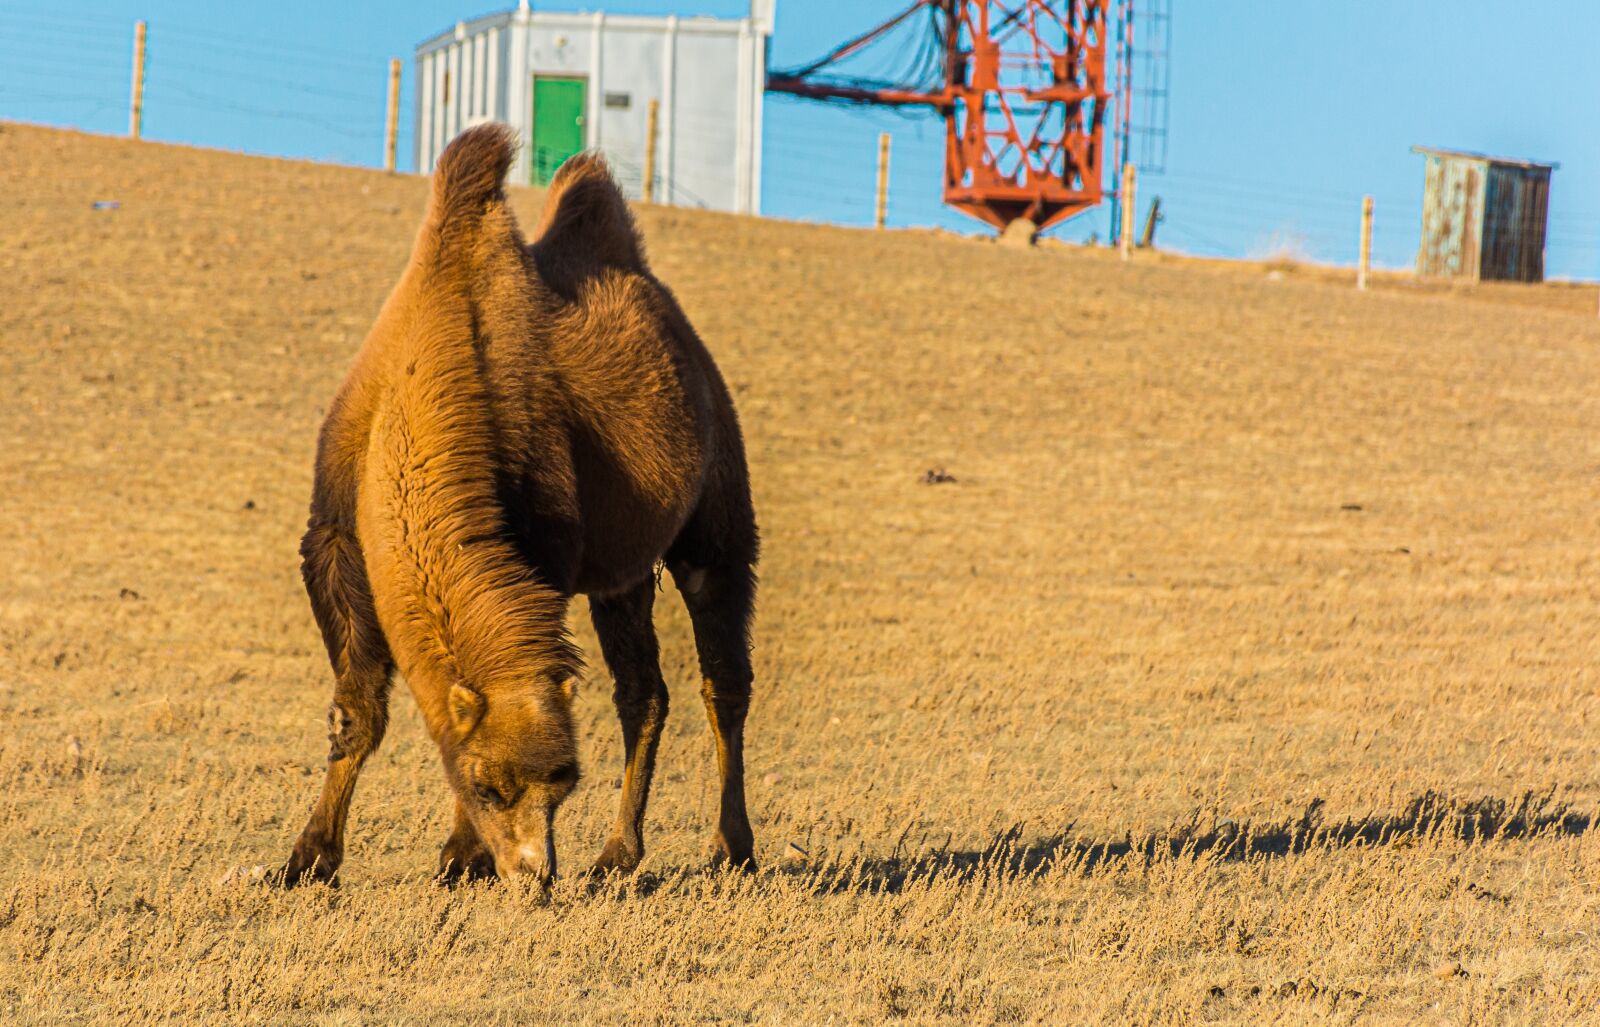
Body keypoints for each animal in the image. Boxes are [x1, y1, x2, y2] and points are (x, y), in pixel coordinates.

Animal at [280, 123, 759, 888]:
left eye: (562, 783)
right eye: (488, 786)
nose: (535, 871)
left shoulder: (543, 553)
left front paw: (458, 855)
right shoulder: (335, 544)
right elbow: (356, 713)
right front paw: (308, 859)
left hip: (716, 525)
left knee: (725, 681)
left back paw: (730, 847)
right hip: (622, 577)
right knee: (644, 693)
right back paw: (619, 855)